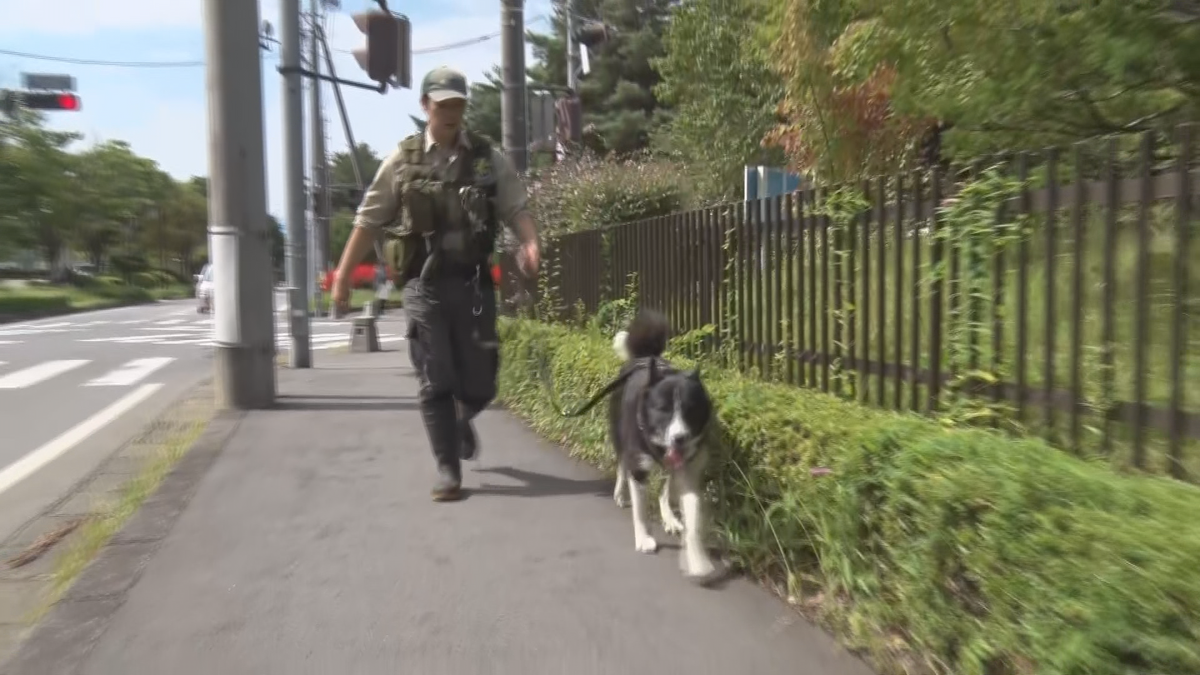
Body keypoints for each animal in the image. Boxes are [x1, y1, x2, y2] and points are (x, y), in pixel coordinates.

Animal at [604, 309, 715, 578]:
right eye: (663, 409)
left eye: (691, 410)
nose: (679, 437)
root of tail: (645, 358)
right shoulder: (639, 466)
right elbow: (640, 509)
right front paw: (644, 539)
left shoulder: (688, 467)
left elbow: (692, 516)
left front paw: (697, 560)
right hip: (619, 435)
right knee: (622, 465)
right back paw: (620, 493)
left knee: (666, 487)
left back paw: (670, 518)